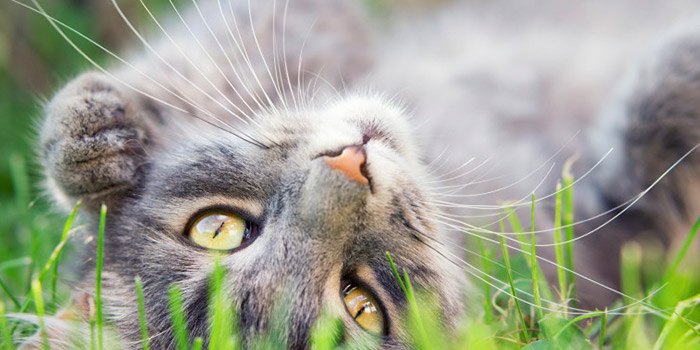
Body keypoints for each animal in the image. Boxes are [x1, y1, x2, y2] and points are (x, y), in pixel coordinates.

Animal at [24, 0, 700, 348]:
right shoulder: (611, 245)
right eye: (362, 306)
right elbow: (658, 131)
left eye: (217, 229)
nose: (351, 166)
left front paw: (96, 141)